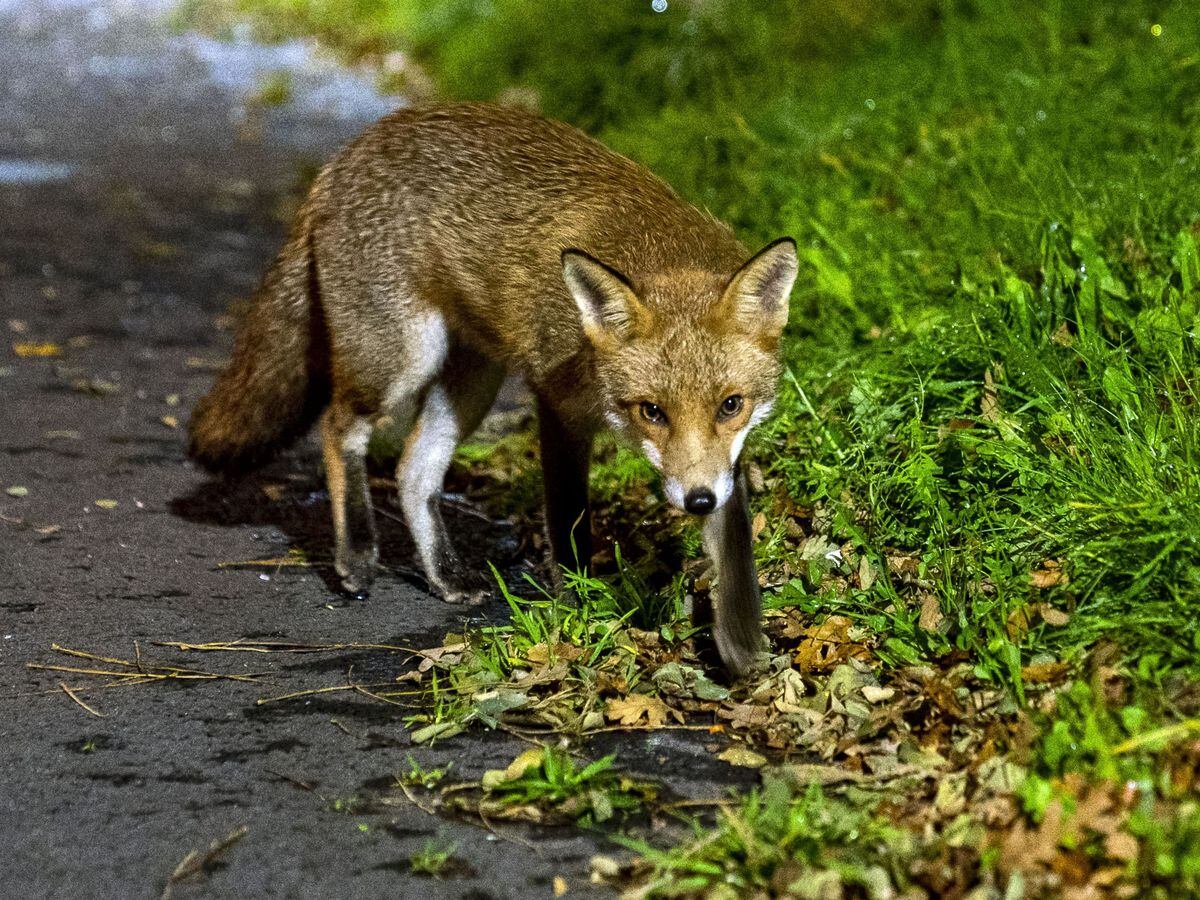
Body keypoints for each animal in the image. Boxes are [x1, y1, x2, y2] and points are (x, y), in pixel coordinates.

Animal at [189, 102, 796, 676]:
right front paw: (581, 602)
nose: (696, 502)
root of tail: (352, 150)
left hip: (472, 383)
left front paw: (742, 640)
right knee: (338, 428)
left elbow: (736, 546)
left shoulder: (720, 461)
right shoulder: (558, 402)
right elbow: (570, 522)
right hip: (401, 359)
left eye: (730, 405)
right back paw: (358, 555)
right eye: (651, 411)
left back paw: (446, 577)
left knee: (412, 471)